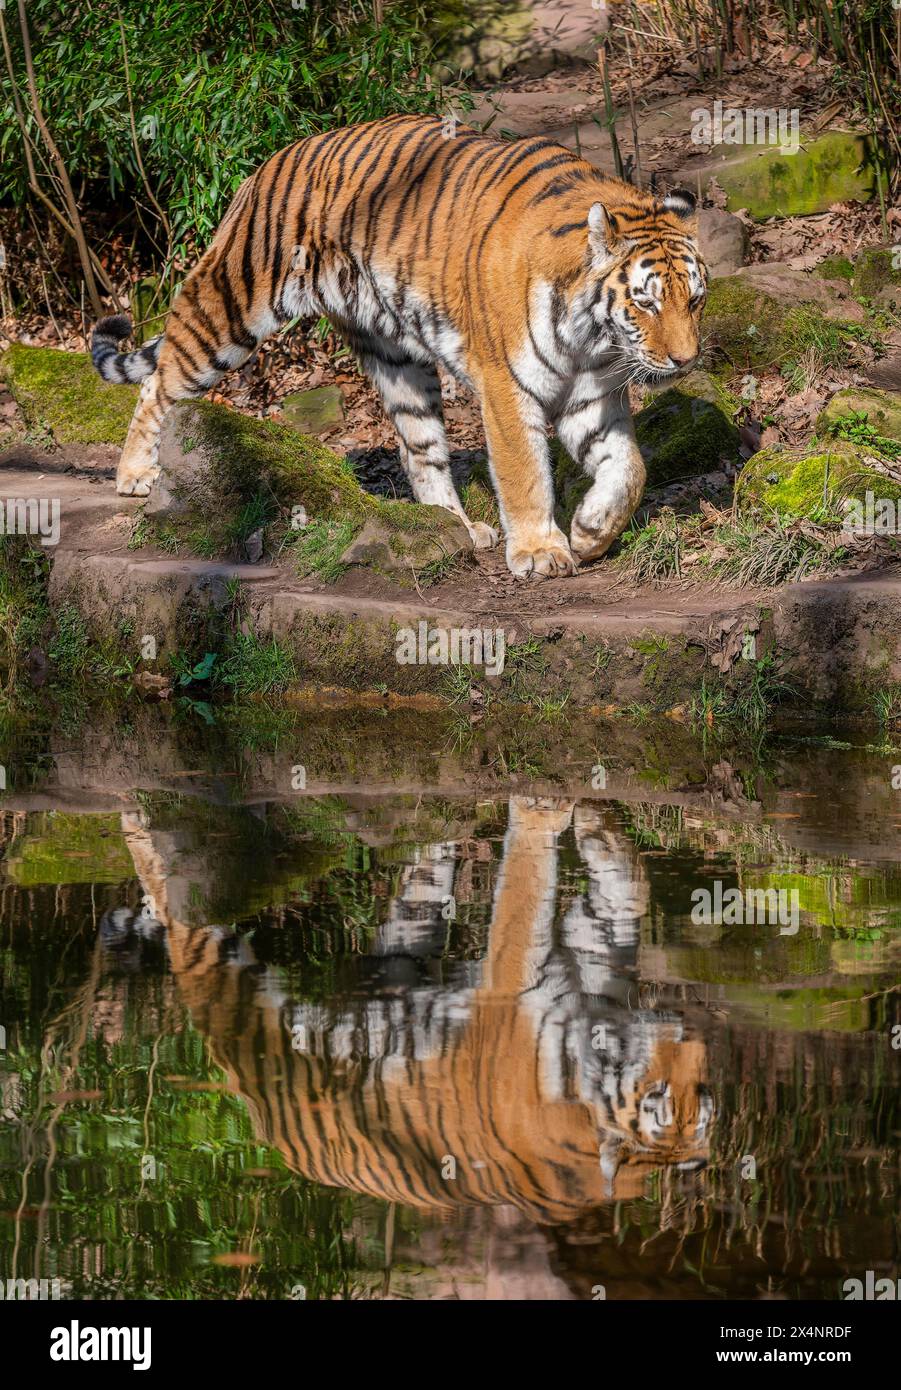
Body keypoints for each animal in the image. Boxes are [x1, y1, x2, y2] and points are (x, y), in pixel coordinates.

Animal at [90, 114, 706, 579]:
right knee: (160, 380)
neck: (594, 340)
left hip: (397, 357)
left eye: (694, 301)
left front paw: (591, 531)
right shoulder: (507, 388)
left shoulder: (592, 397)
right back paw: (135, 475)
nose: (685, 360)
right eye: (646, 303)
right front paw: (540, 551)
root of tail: (270, 161)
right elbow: (525, 475)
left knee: (420, 450)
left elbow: (630, 471)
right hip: (232, 306)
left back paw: (458, 529)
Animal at [118, 795, 713, 1222]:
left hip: (406, 947)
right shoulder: (514, 980)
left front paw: (595, 825)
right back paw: (133, 819)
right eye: (658, 1097)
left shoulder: (592, 953)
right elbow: (532, 879)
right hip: (220, 967)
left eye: (701, 1095)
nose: (692, 1035)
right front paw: (546, 804)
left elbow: (627, 890)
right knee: (174, 901)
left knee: (422, 875)